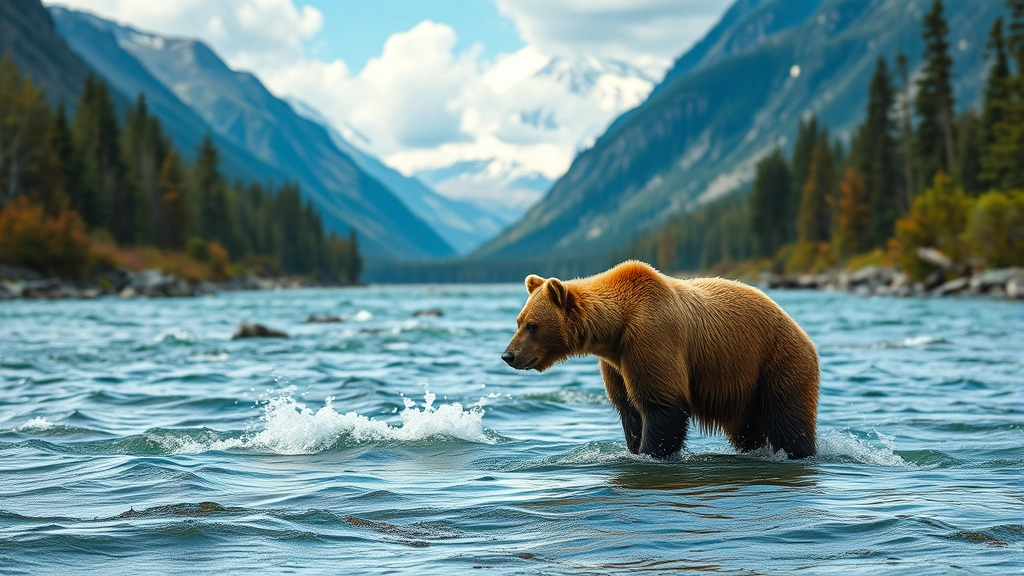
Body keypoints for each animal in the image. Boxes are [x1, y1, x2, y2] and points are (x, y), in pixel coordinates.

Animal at [501, 261, 819, 460]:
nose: (508, 355)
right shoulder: (616, 363)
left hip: (775, 361)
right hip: (741, 385)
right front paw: (633, 445)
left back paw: (800, 451)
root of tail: (801, 331)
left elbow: (662, 404)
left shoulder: (651, 338)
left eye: (532, 325)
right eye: (518, 321)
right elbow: (628, 408)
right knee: (747, 430)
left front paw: (651, 452)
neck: (616, 328)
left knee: (788, 418)